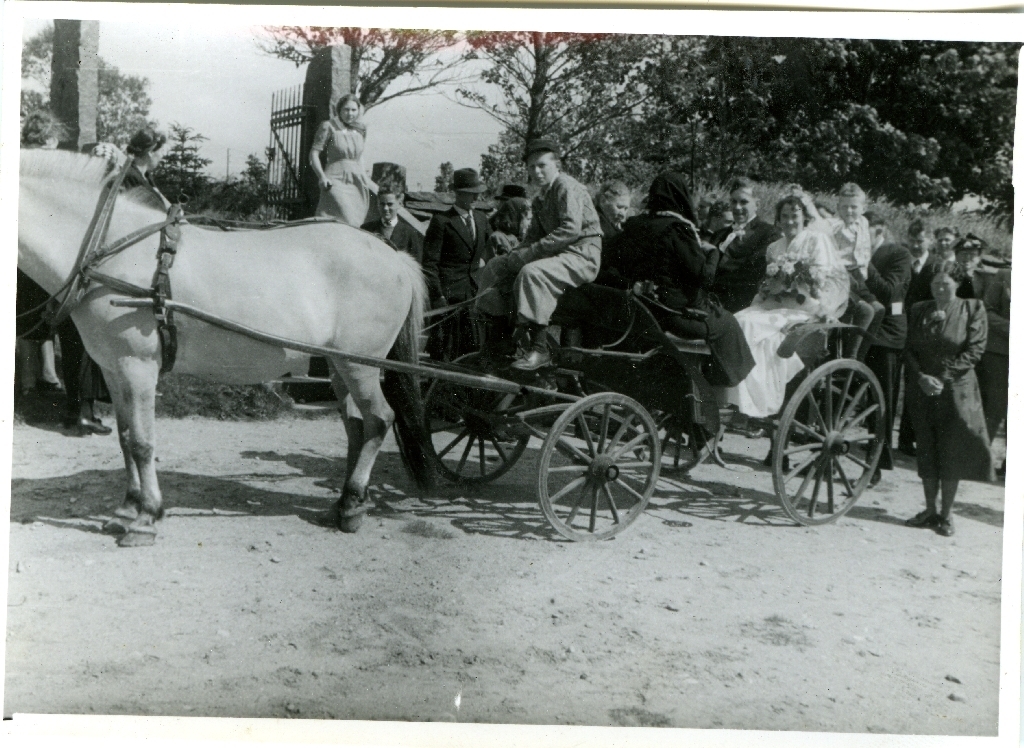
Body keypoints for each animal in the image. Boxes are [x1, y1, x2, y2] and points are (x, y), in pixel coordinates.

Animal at [17, 149, 432, 549]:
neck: (111, 249)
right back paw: (346, 504)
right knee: (356, 426)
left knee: (379, 420)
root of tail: (393, 255)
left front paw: (147, 517)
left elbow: (142, 442)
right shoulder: (113, 367)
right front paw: (127, 509)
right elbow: (124, 437)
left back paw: (352, 504)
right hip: (339, 365)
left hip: (361, 365)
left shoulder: (138, 366)